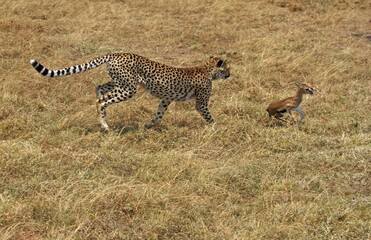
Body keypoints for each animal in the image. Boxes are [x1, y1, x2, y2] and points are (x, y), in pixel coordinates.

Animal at [30, 53, 231, 130]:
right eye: (227, 67)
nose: (230, 74)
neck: (208, 70)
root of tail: (116, 54)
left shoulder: (165, 99)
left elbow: (159, 114)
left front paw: (149, 125)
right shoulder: (201, 103)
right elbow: (208, 115)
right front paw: (217, 128)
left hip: (120, 83)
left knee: (99, 88)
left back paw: (102, 118)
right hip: (128, 88)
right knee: (102, 100)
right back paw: (104, 124)